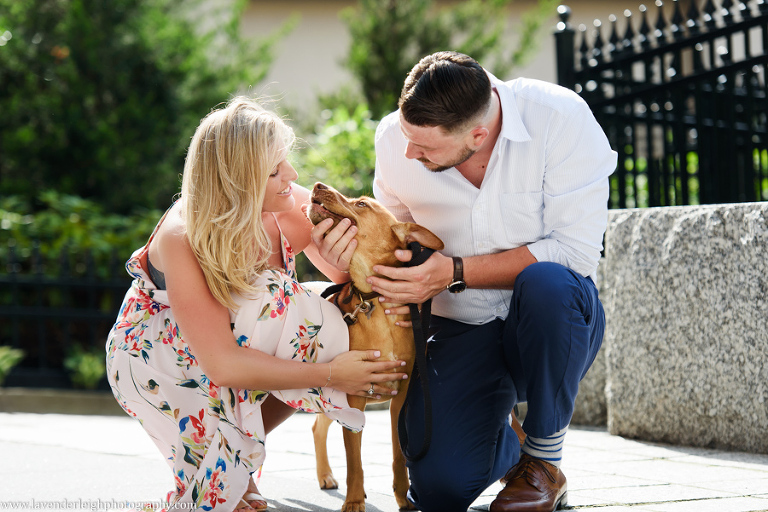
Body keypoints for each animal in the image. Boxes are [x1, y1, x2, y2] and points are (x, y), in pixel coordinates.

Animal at [306, 182, 444, 512]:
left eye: (362, 204)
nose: (317, 185)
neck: (374, 301)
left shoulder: (400, 400)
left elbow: (399, 455)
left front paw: (403, 497)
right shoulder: (354, 399)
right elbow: (355, 462)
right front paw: (355, 501)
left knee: (318, 427)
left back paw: (326, 475)